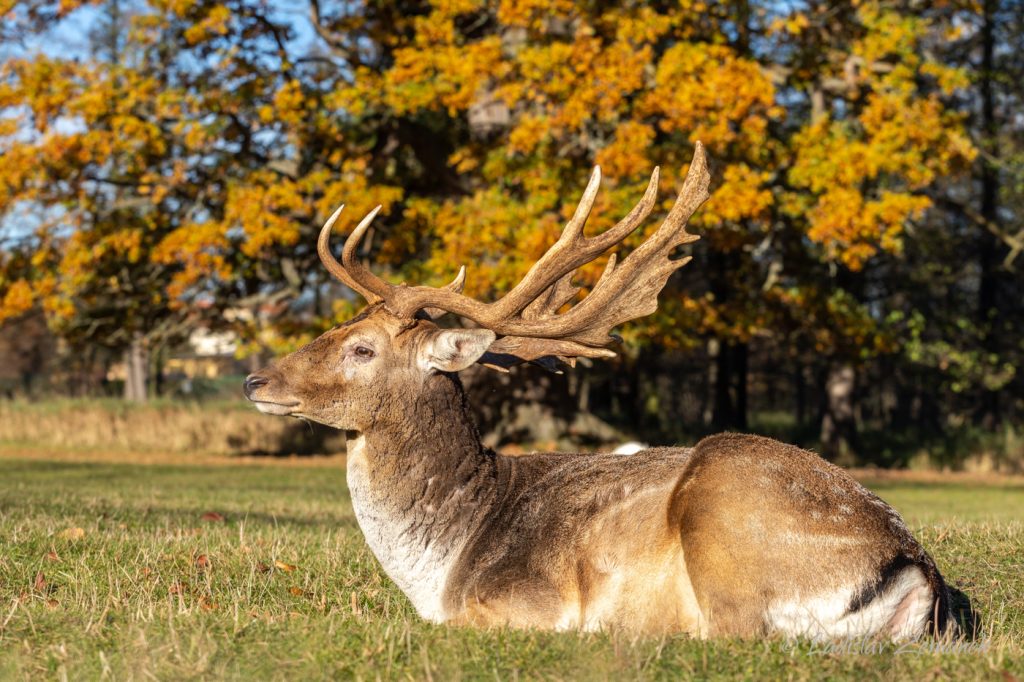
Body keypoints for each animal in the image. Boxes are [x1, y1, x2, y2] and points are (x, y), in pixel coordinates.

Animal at [243, 143, 954, 638]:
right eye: (337, 326)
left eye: (362, 348)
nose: (256, 379)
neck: (439, 569)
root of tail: (913, 567)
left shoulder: (524, 599)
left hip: (727, 516)